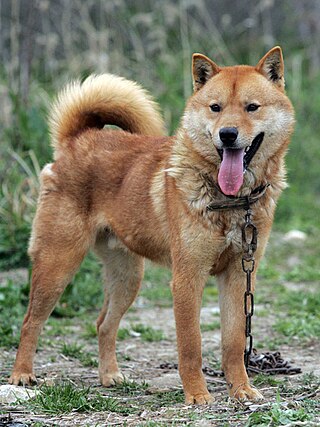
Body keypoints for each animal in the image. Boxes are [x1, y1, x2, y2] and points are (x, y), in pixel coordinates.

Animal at [9, 46, 296, 404]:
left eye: (251, 107)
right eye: (215, 108)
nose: (227, 134)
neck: (233, 200)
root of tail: (77, 139)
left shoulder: (238, 276)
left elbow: (232, 343)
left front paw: (241, 389)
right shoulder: (187, 279)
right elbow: (191, 345)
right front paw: (197, 394)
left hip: (128, 277)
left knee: (103, 324)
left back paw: (109, 375)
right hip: (57, 265)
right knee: (30, 321)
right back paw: (21, 375)